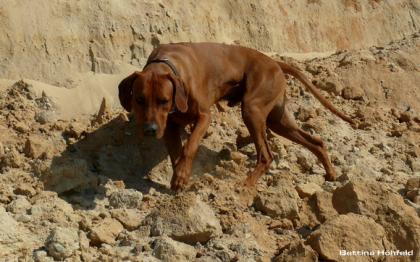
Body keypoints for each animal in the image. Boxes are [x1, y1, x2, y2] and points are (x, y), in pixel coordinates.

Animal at [118, 42, 354, 190]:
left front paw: (182, 175)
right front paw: (179, 177)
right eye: (139, 100)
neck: (168, 63)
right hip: (278, 121)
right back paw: (330, 173)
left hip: (252, 110)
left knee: (266, 156)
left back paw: (246, 185)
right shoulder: (168, 128)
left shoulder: (204, 117)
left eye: (164, 101)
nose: (150, 130)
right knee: (316, 141)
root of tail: (275, 62)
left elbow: (189, 147)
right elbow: (176, 155)